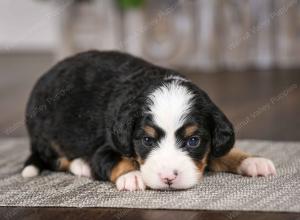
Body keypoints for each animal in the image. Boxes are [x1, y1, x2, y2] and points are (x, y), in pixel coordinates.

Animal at [22, 51, 276, 191]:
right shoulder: (106, 146)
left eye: (193, 141)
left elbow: (224, 152)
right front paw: (132, 176)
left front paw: (252, 161)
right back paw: (82, 165)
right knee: (55, 158)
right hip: (46, 133)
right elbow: (116, 160)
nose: (168, 178)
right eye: (147, 140)